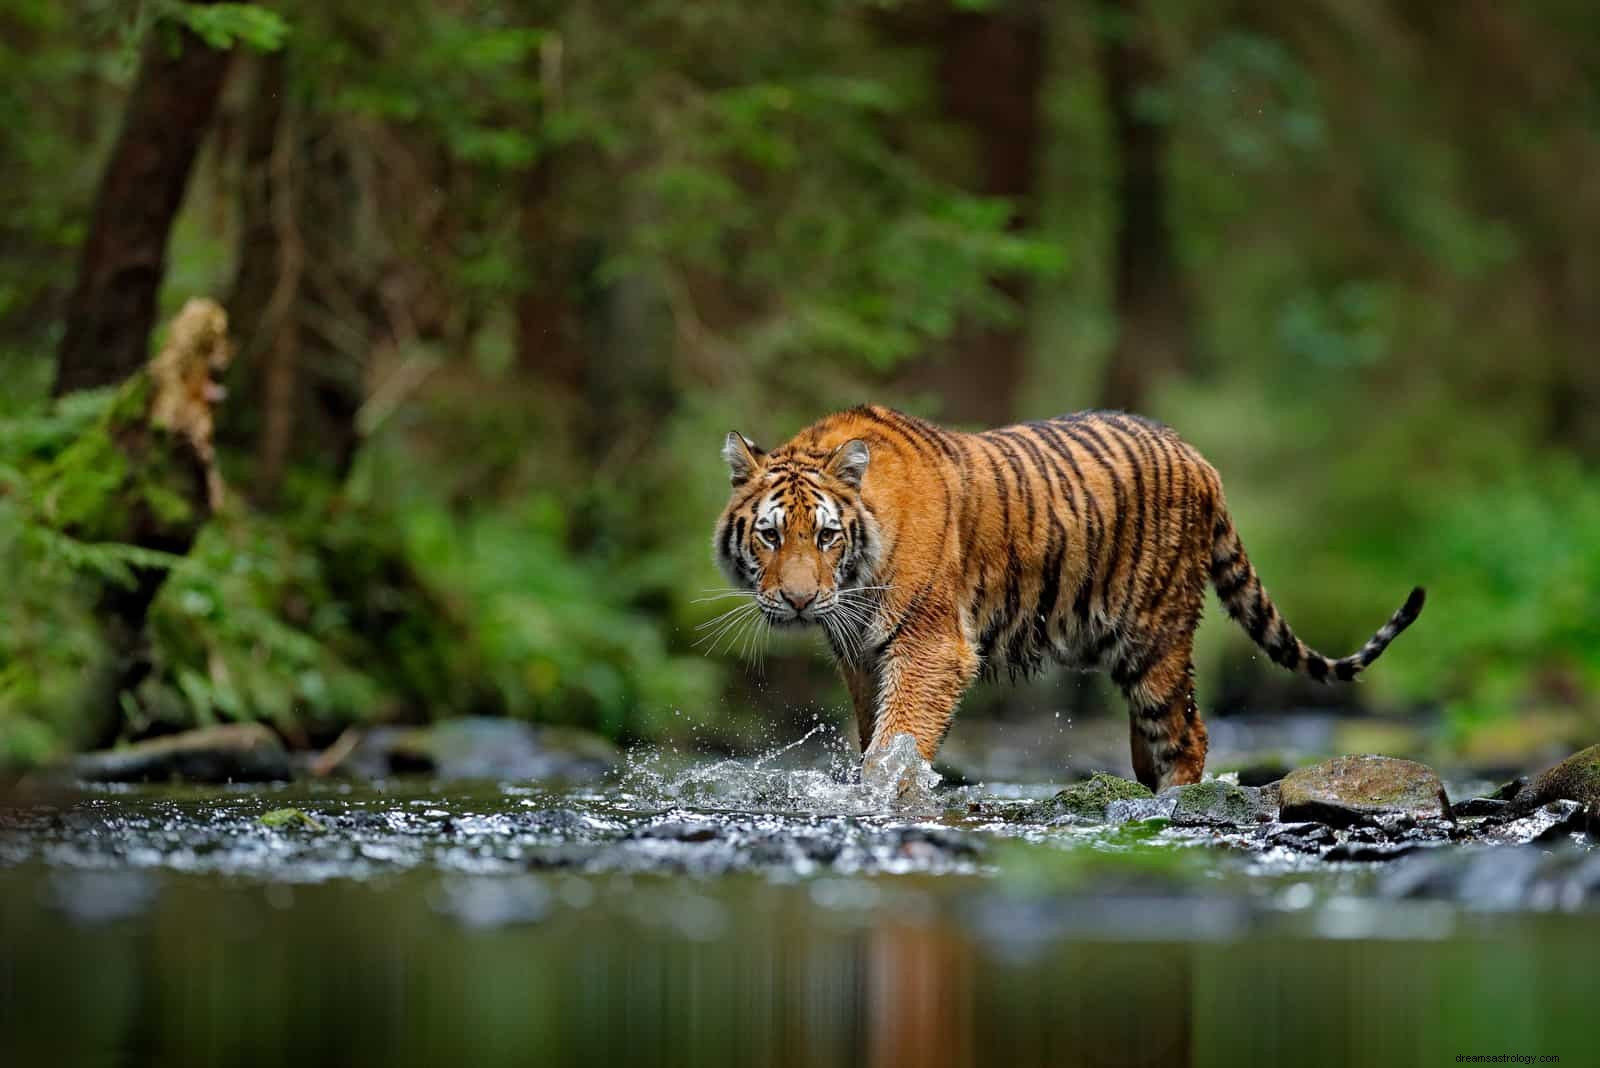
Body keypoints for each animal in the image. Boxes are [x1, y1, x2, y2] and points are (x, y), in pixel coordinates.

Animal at [713, 404, 1427, 789]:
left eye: (826, 536)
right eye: (770, 536)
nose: (799, 601)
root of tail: (1199, 458)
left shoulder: (930, 646)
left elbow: (898, 742)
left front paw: (885, 795)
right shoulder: (862, 656)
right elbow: (874, 737)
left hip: (1156, 637)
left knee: (1187, 733)